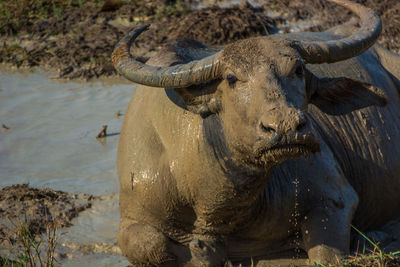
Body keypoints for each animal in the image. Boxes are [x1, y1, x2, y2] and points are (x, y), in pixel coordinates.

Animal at [111, 0, 400, 266]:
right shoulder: (135, 212)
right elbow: (148, 243)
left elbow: (327, 254)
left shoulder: (334, 199)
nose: (285, 127)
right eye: (230, 78)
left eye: (298, 70)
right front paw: (201, 249)